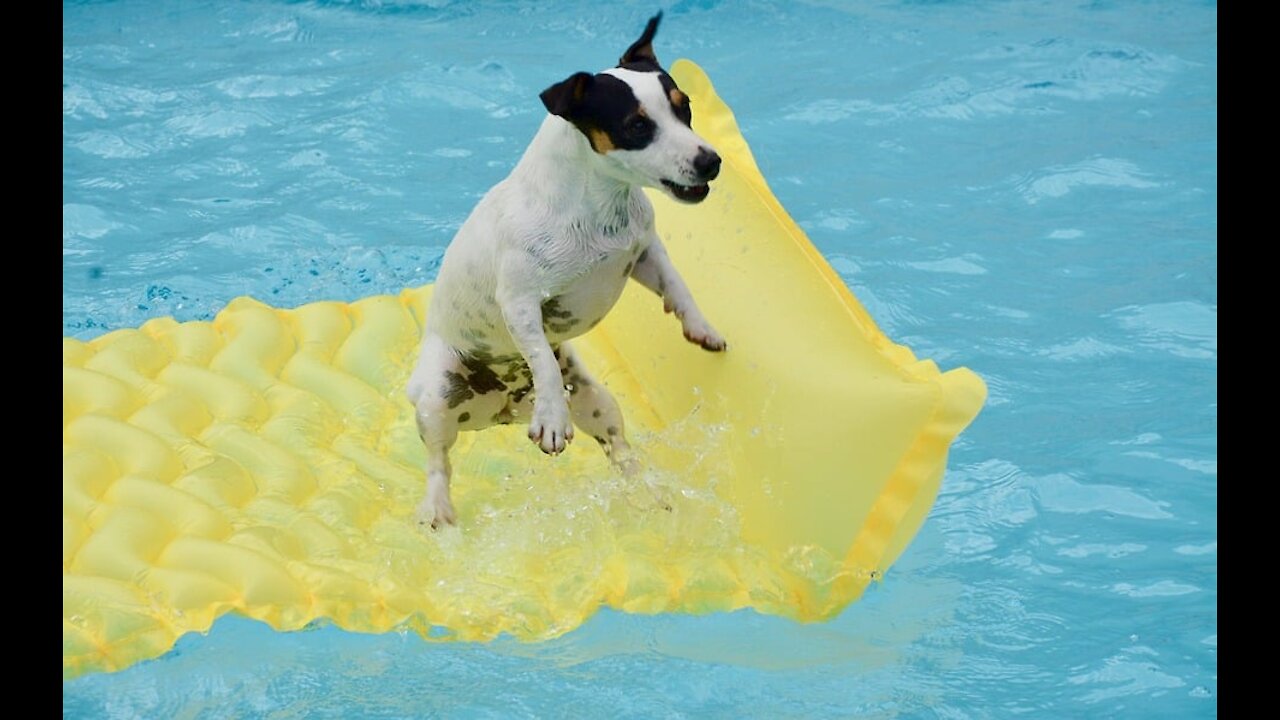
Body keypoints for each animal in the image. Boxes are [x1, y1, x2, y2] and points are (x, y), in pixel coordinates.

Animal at [404, 12, 727, 527]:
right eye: (637, 125)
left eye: (686, 108)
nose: (711, 161)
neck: (598, 204)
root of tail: (504, 410)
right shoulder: (519, 302)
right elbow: (540, 357)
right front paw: (553, 419)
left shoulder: (643, 254)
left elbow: (677, 285)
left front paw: (700, 326)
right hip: (437, 395)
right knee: (439, 460)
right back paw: (439, 506)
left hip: (598, 403)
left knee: (618, 448)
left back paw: (648, 490)